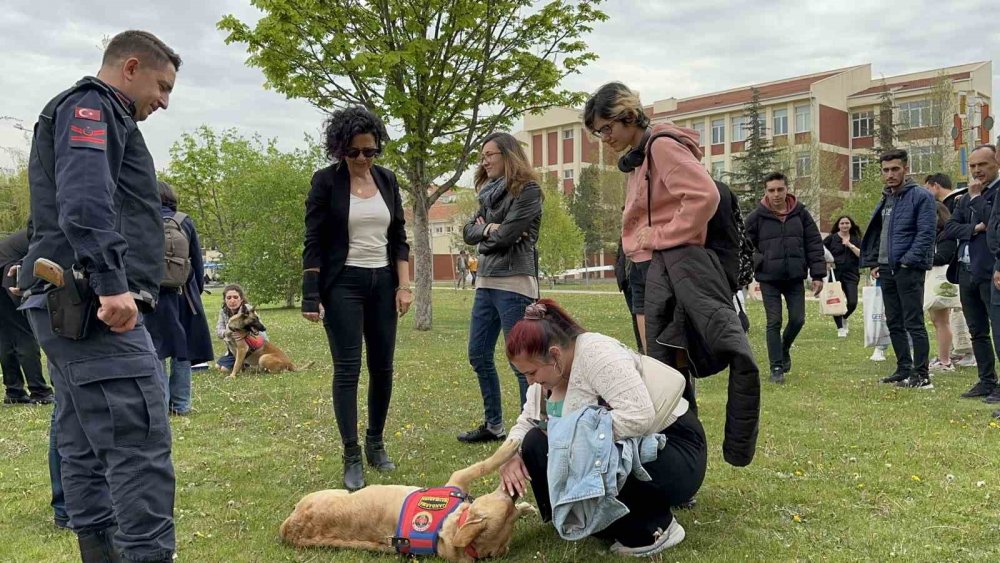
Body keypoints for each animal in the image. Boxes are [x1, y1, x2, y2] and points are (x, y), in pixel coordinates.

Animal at [278, 442, 536, 560]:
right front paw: (509, 447)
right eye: (503, 502)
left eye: (511, 512)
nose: (514, 494)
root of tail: (289, 529)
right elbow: (484, 464)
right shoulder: (457, 479)